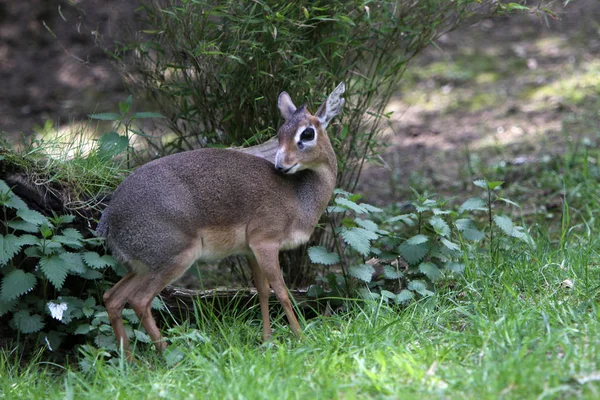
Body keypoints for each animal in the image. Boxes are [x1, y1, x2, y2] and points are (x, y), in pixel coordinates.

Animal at [96, 82, 344, 356]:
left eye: (308, 133)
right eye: (280, 134)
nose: (281, 165)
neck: (299, 196)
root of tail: (109, 218)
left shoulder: (250, 251)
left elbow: (263, 291)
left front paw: (267, 340)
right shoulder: (265, 243)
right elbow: (281, 291)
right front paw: (301, 338)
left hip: (143, 267)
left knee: (112, 298)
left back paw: (129, 359)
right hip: (175, 258)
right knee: (139, 301)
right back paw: (171, 355)